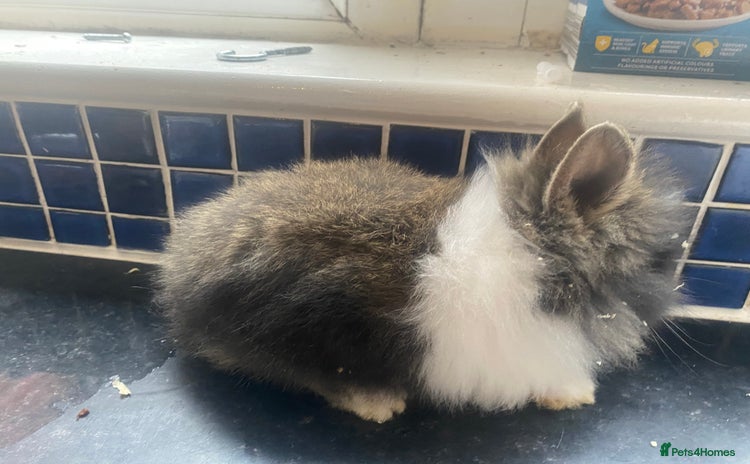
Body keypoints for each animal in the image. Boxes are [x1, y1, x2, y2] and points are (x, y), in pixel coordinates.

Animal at [157, 103, 688, 423]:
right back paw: (380, 404)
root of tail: (177, 276)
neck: (537, 260)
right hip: (311, 322)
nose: (673, 297)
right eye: (656, 260)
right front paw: (576, 394)